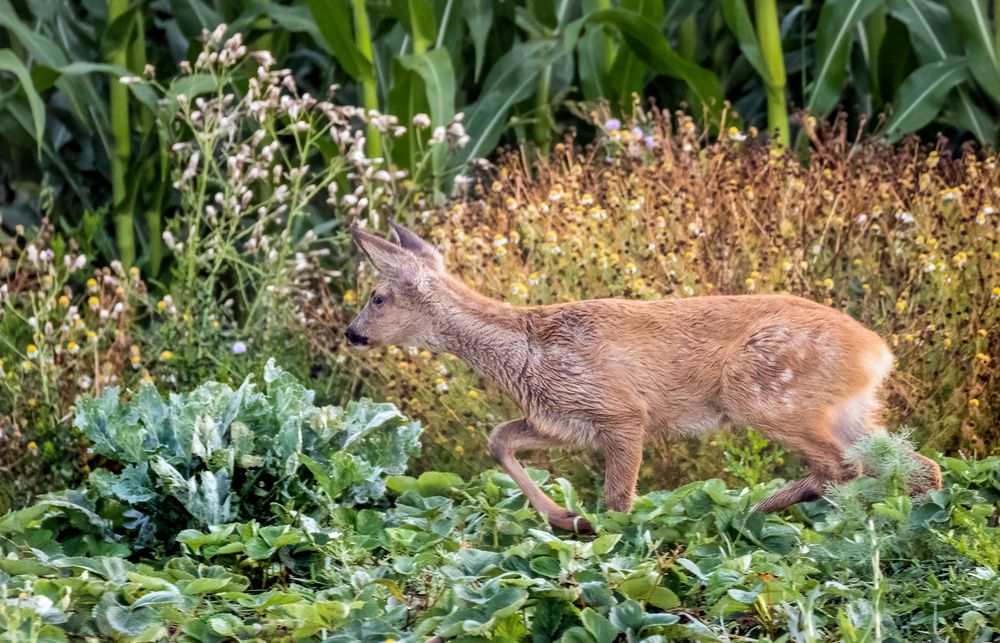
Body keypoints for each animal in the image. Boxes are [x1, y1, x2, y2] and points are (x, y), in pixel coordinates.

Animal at [348, 224, 940, 536]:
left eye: (377, 297)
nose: (352, 334)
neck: (525, 351)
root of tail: (878, 352)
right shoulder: (561, 419)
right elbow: (498, 439)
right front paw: (566, 518)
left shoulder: (621, 411)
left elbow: (618, 501)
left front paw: (603, 537)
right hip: (846, 409)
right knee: (917, 466)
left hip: (764, 395)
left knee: (842, 467)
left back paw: (748, 516)